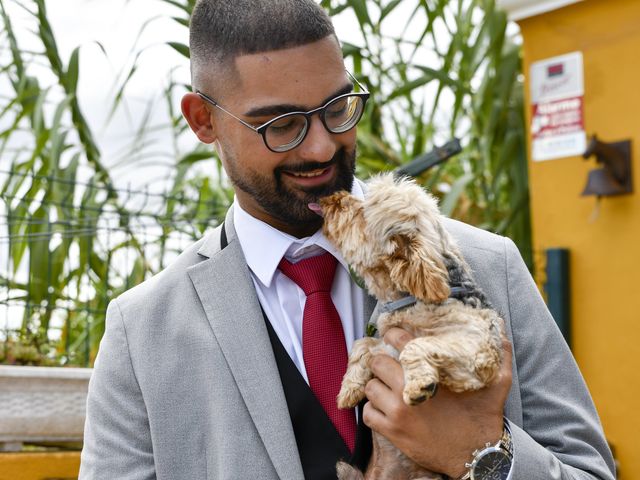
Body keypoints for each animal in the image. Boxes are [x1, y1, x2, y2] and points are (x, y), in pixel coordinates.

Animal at [316, 173, 504, 480]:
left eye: (362, 212)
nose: (330, 197)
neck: (412, 298)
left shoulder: (478, 357)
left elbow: (415, 345)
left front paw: (419, 384)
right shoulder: (384, 342)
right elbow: (363, 344)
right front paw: (348, 390)